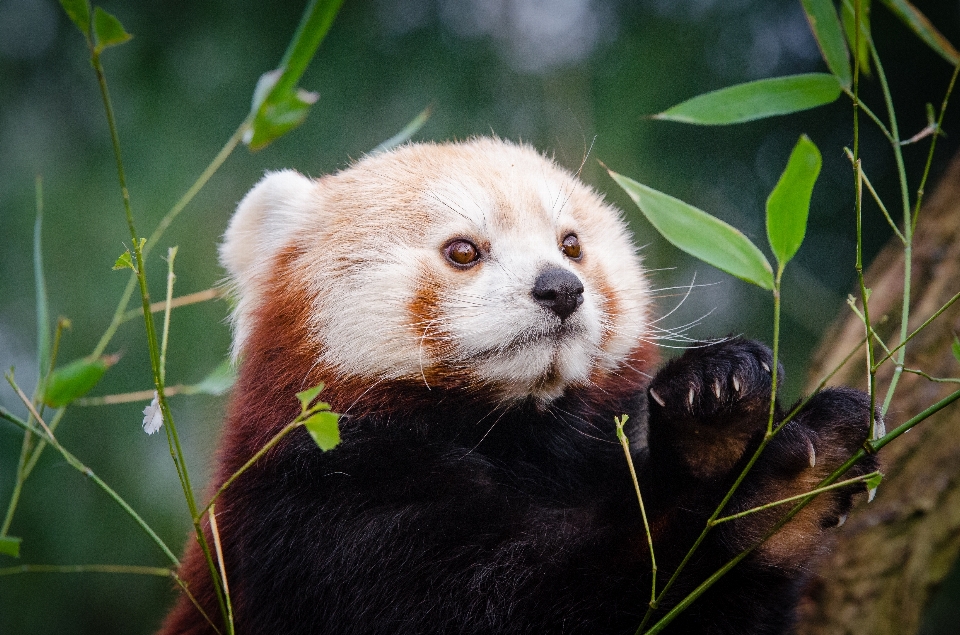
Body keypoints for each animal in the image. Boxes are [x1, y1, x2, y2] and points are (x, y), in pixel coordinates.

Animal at [158, 139, 876, 635]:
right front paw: (773, 500)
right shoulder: (317, 517)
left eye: (572, 243)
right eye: (463, 251)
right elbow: (522, 600)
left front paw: (717, 404)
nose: (561, 287)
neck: (513, 429)